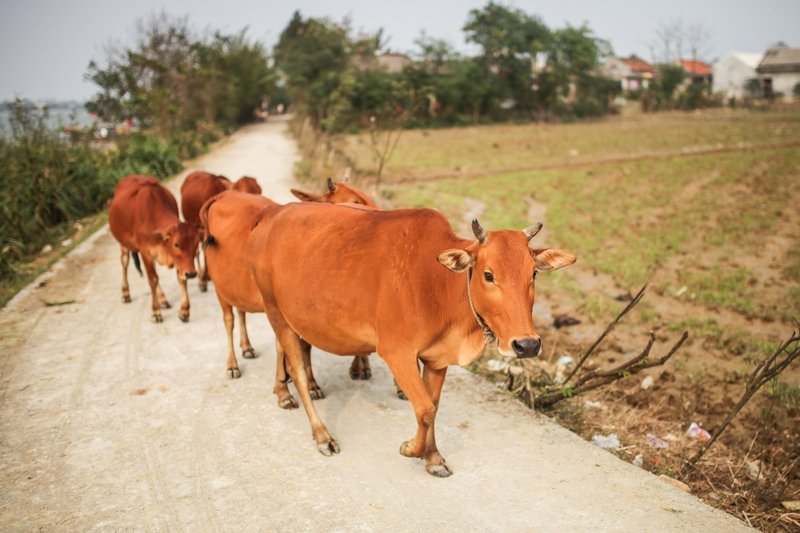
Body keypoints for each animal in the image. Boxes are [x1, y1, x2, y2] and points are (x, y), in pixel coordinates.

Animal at [108, 177, 202, 322]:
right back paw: (125, 293)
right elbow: (152, 279)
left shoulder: (178, 261)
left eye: (196, 243)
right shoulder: (145, 252)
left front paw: (184, 311)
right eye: (176, 244)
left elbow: (180, 279)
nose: (191, 274)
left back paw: (163, 299)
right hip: (123, 244)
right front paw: (156, 311)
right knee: (124, 262)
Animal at [198, 177, 376, 406]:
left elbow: (303, 346)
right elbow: (284, 347)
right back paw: (232, 365)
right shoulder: (277, 307)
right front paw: (284, 388)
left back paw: (247, 347)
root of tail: (223, 195)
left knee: (241, 312)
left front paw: (308, 384)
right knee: (229, 321)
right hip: (220, 287)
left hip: (235, 287)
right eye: (354, 202)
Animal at [248, 205, 576, 478]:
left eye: (533, 274)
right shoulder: (397, 353)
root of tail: (271, 216)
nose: (527, 345)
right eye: (488, 274)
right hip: (275, 311)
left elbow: (433, 406)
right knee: (298, 371)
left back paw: (284, 392)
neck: (437, 284)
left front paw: (433, 458)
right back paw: (321, 434)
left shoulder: (437, 358)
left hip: (292, 317)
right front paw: (412, 449)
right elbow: (425, 409)